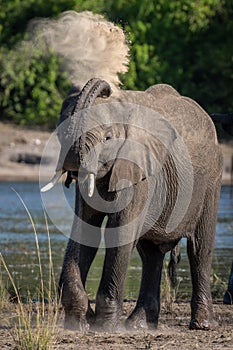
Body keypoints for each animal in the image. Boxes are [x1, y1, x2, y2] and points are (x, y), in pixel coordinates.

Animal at [41, 78, 224, 332]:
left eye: (108, 138)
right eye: (60, 133)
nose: (105, 86)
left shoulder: (139, 169)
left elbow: (120, 231)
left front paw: (104, 327)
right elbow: (85, 228)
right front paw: (79, 322)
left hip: (210, 179)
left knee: (199, 249)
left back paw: (203, 325)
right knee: (150, 254)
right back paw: (139, 325)